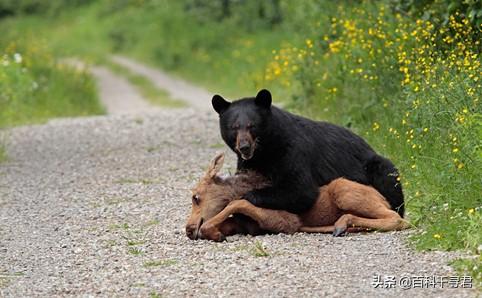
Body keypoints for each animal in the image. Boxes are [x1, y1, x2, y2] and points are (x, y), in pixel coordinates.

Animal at [211, 88, 402, 217]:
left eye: (252, 125)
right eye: (234, 127)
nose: (244, 146)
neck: (266, 150)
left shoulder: (292, 152)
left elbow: (300, 190)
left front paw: (245, 195)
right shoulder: (247, 163)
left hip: (374, 164)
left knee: (389, 178)